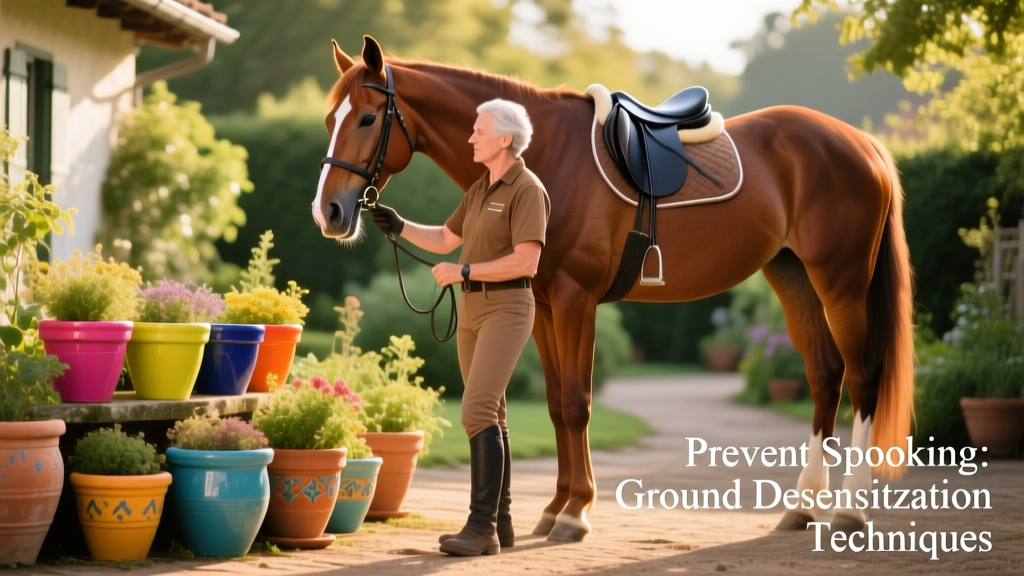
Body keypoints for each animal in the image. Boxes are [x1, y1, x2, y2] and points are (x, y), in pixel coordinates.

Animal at [312, 35, 915, 544]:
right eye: (327, 119)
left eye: (367, 117)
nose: (329, 212)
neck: (546, 156)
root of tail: (862, 143)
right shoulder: (544, 306)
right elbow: (556, 406)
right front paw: (555, 508)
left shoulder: (576, 301)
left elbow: (577, 404)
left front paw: (576, 514)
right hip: (794, 277)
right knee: (824, 376)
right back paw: (803, 507)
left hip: (841, 281)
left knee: (863, 377)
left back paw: (849, 511)